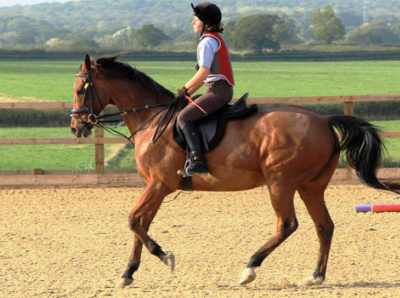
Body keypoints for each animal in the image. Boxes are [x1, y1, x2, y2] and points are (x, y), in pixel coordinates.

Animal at [70, 54, 398, 288]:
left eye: (79, 90)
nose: (76, 127)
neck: (152, 118)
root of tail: (324, 120)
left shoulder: (159, 185)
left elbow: (134, 220)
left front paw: (166, 258)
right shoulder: (155, 186)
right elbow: (140, 223)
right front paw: (128, 273)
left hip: (280, 183)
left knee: (287, 224)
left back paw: (250, 269)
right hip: (310, 186)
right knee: (324, 226)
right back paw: (315, 276)